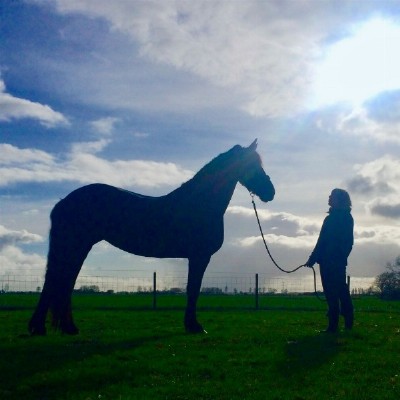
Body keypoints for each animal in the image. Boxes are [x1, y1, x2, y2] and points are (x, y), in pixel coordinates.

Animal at [28, 141, 276, 334]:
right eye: (251, 164)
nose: (270, 192)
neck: (199, 204)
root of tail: (64, 201)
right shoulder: (199, 256)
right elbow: (193, 289)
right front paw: (194, 326)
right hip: (75, 245)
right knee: (57, 281)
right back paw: (40, 328)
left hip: (79, 247)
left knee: (64, 282)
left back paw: (66, 327)